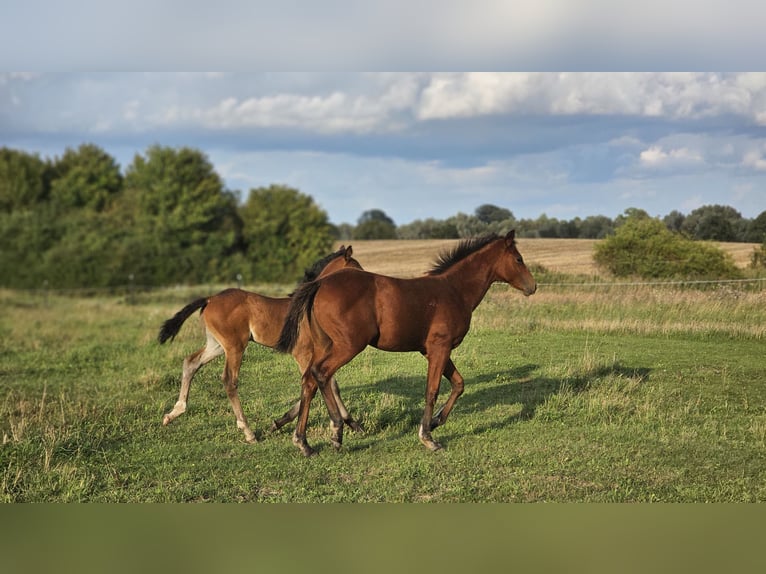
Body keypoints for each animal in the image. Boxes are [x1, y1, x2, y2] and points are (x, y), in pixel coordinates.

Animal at [157, 245, 364, 443]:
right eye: (355, 267)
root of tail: (210, 299)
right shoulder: (303, 353)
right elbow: (327, 383)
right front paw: (349, 423)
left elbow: (326, 383)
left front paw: (279, 422)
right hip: (235, 346)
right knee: (229, 380)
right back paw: (248, 433)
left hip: (216, 345)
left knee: (191, 362)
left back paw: (173, 413)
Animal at [276, 230, 536, 456]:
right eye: (518, 258)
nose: (532, 286)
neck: (454, 290)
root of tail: (320, 284)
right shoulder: (439, 348)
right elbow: (432, 390)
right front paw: (428, 437)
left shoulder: (434, 350)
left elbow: (459, 384)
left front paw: (436, 421)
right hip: (348, 346)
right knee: (321, 374)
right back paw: (336, 432)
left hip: (324, 345)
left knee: (309, 379)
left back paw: (303, 442)